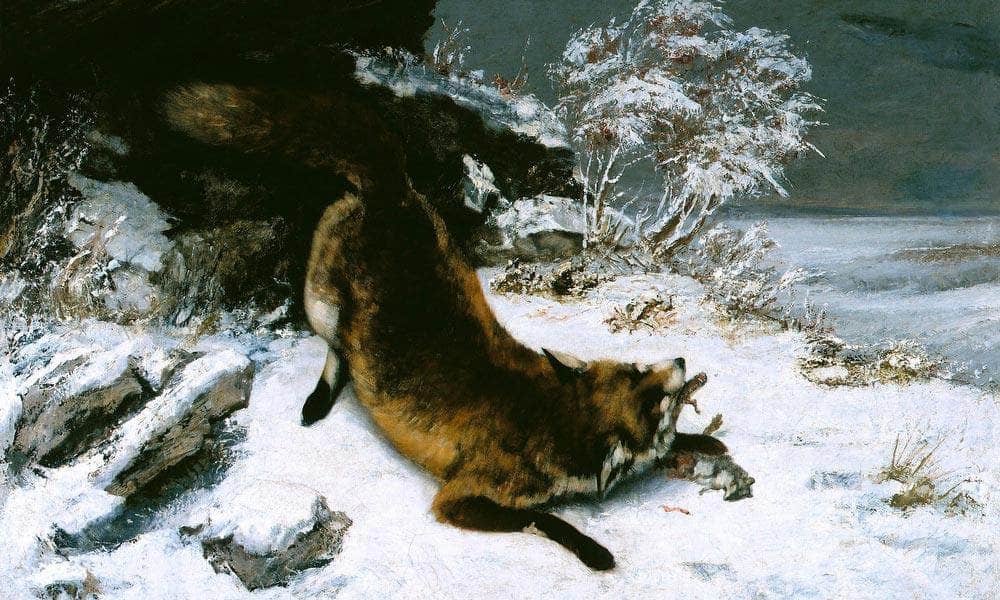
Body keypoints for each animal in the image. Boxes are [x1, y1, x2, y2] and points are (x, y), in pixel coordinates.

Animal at [164, 83, 739, 570]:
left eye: (644, 371)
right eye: (652, 394)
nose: (681, 359)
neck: (550, 414)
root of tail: (392, 186)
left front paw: (703, 443)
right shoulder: (457, 497)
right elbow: (544, 520)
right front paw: (594, 551)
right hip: (320, 303)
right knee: (338, 350)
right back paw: (319, 400)